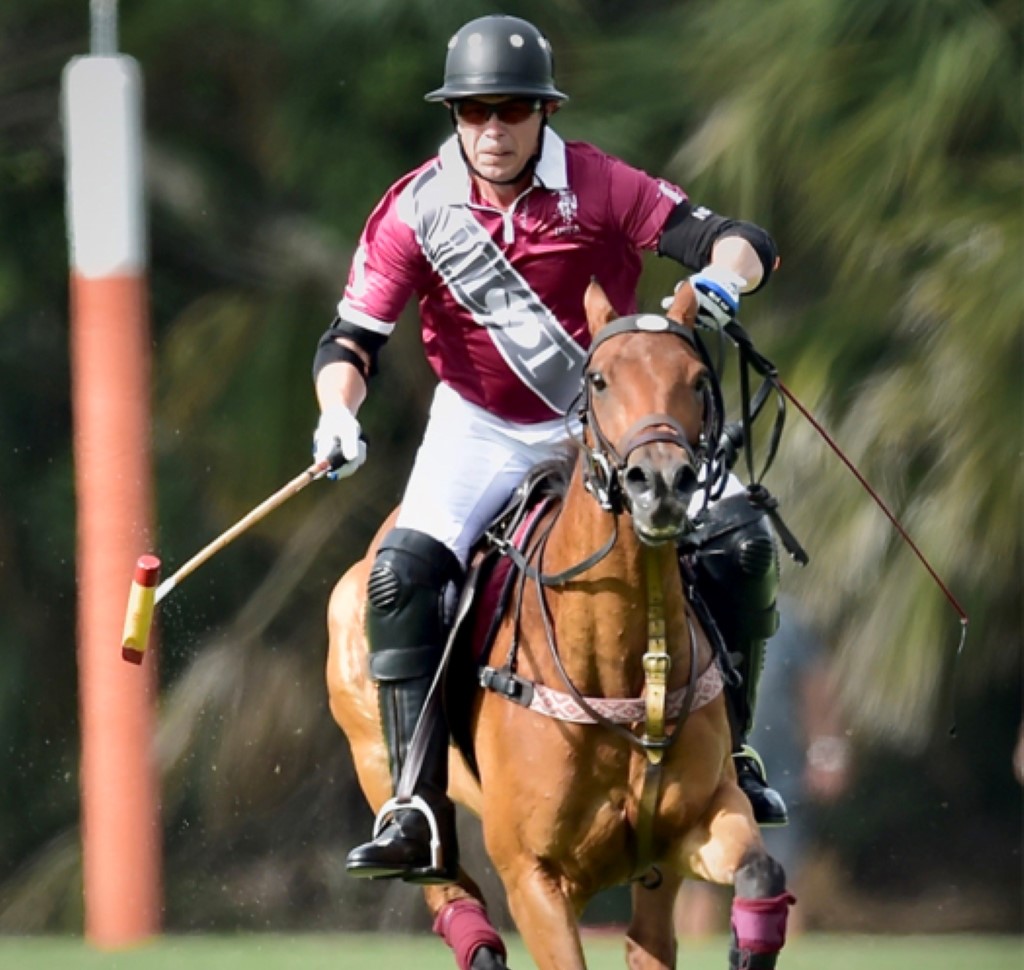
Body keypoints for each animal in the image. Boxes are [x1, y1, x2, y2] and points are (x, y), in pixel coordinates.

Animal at [325, 280, 790, 970]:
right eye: (598, 379)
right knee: (446, 886)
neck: (624, 668)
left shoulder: (700, 822)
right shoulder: (532, 876)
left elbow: (762, 875)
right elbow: (355, 335)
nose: (661, 484)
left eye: (699, 379)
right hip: (376, 763)